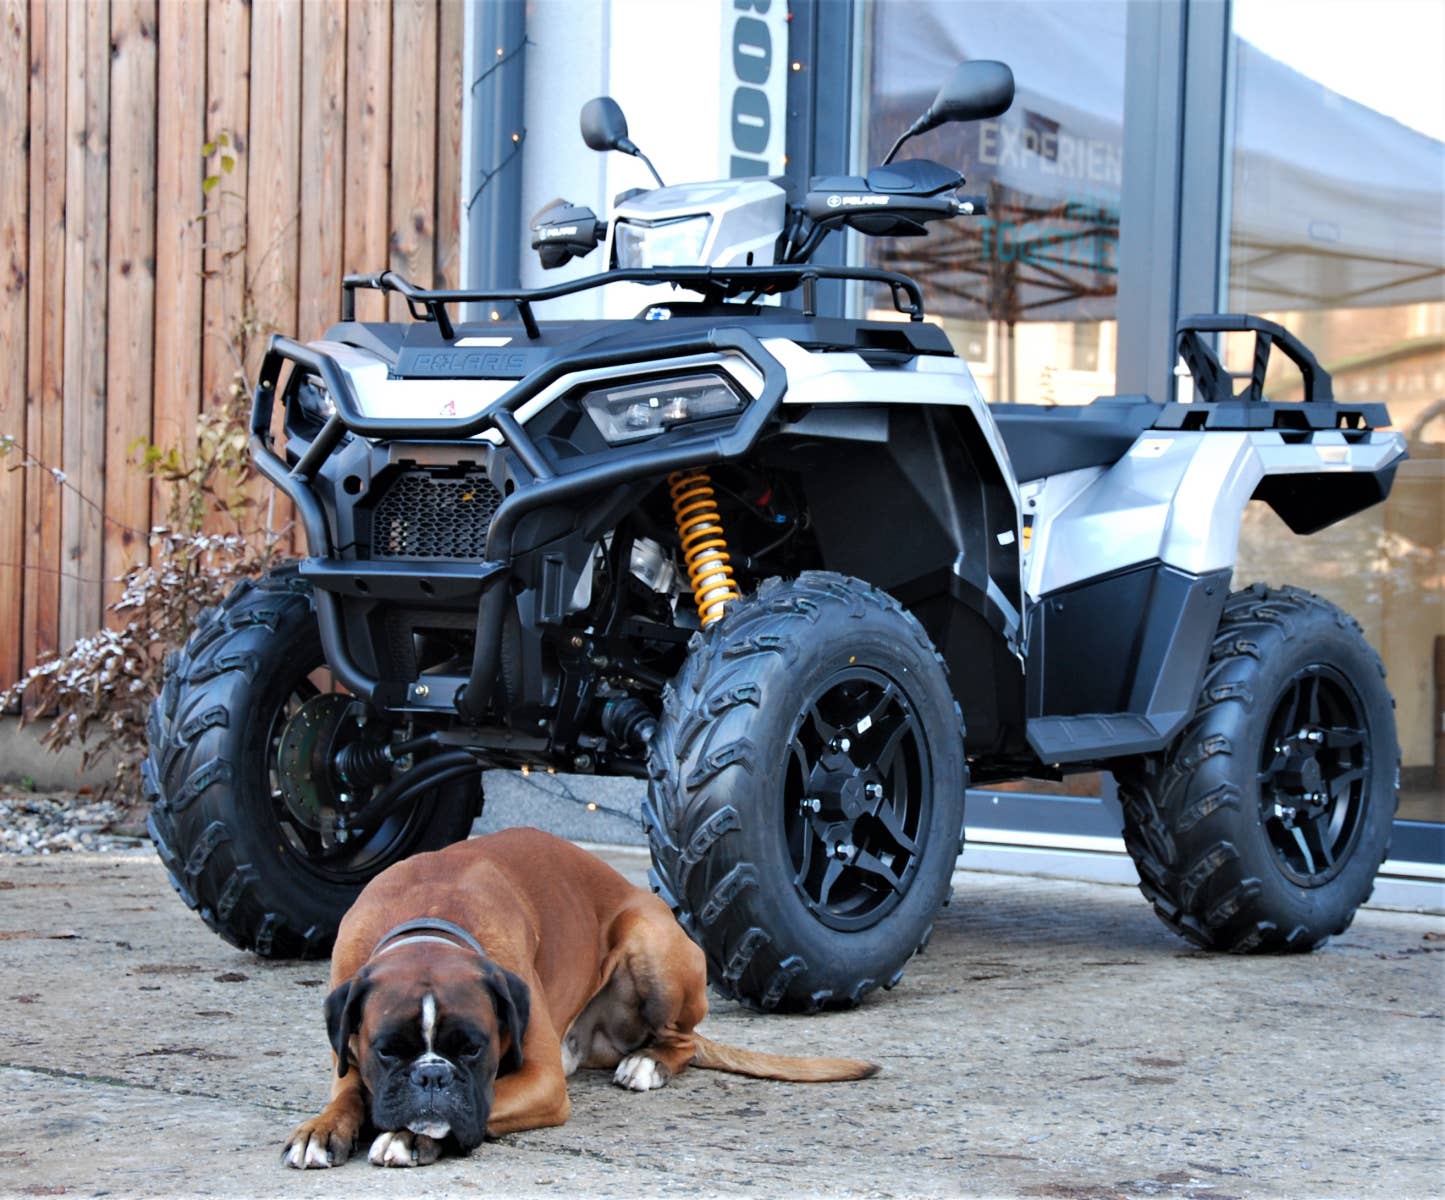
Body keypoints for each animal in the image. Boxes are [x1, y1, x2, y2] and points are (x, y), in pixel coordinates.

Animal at [283, 827, 877, 1168]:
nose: (431, 1078)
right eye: (388, 1050)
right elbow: (350, 1093)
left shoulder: (541, 1083)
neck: (429, 918)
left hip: (651, 939)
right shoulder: (351, 1056)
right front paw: (323, 1127)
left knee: (682, 1041)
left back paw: (647, 1064)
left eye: (472, 1049)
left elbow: (476, 1108)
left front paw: (411, 1138)